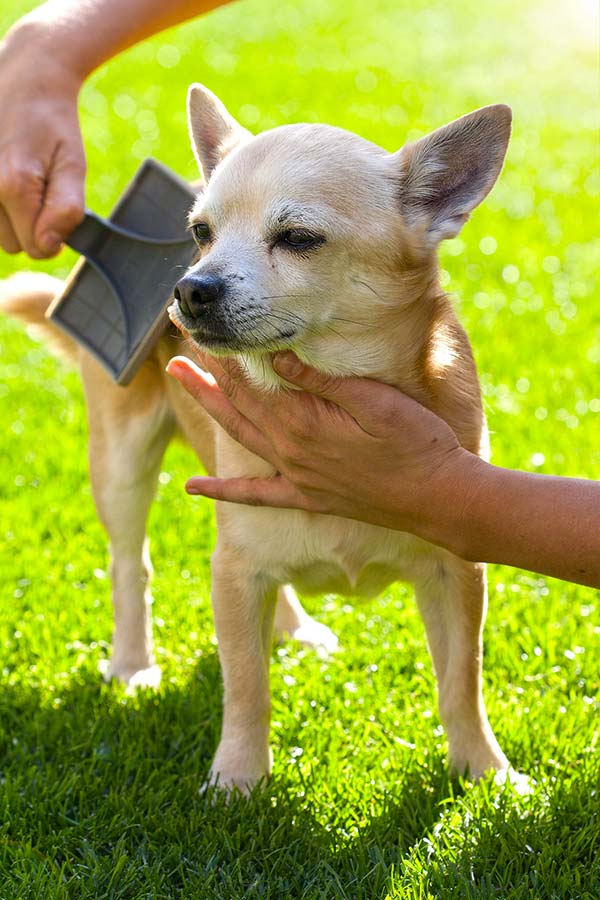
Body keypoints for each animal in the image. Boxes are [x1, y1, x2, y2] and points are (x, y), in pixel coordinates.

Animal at [1, 84, 516, 796]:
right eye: (200, 234)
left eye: (298, 239)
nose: (188, 288)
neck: (320, 394)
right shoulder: (234, 574)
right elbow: (246, 687)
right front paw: (237, 781)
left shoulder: (456, 572)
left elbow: (461, 682)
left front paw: (485, 774)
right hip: (122, 462)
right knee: (131, 564)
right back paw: (132, 665)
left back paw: (293, 628)